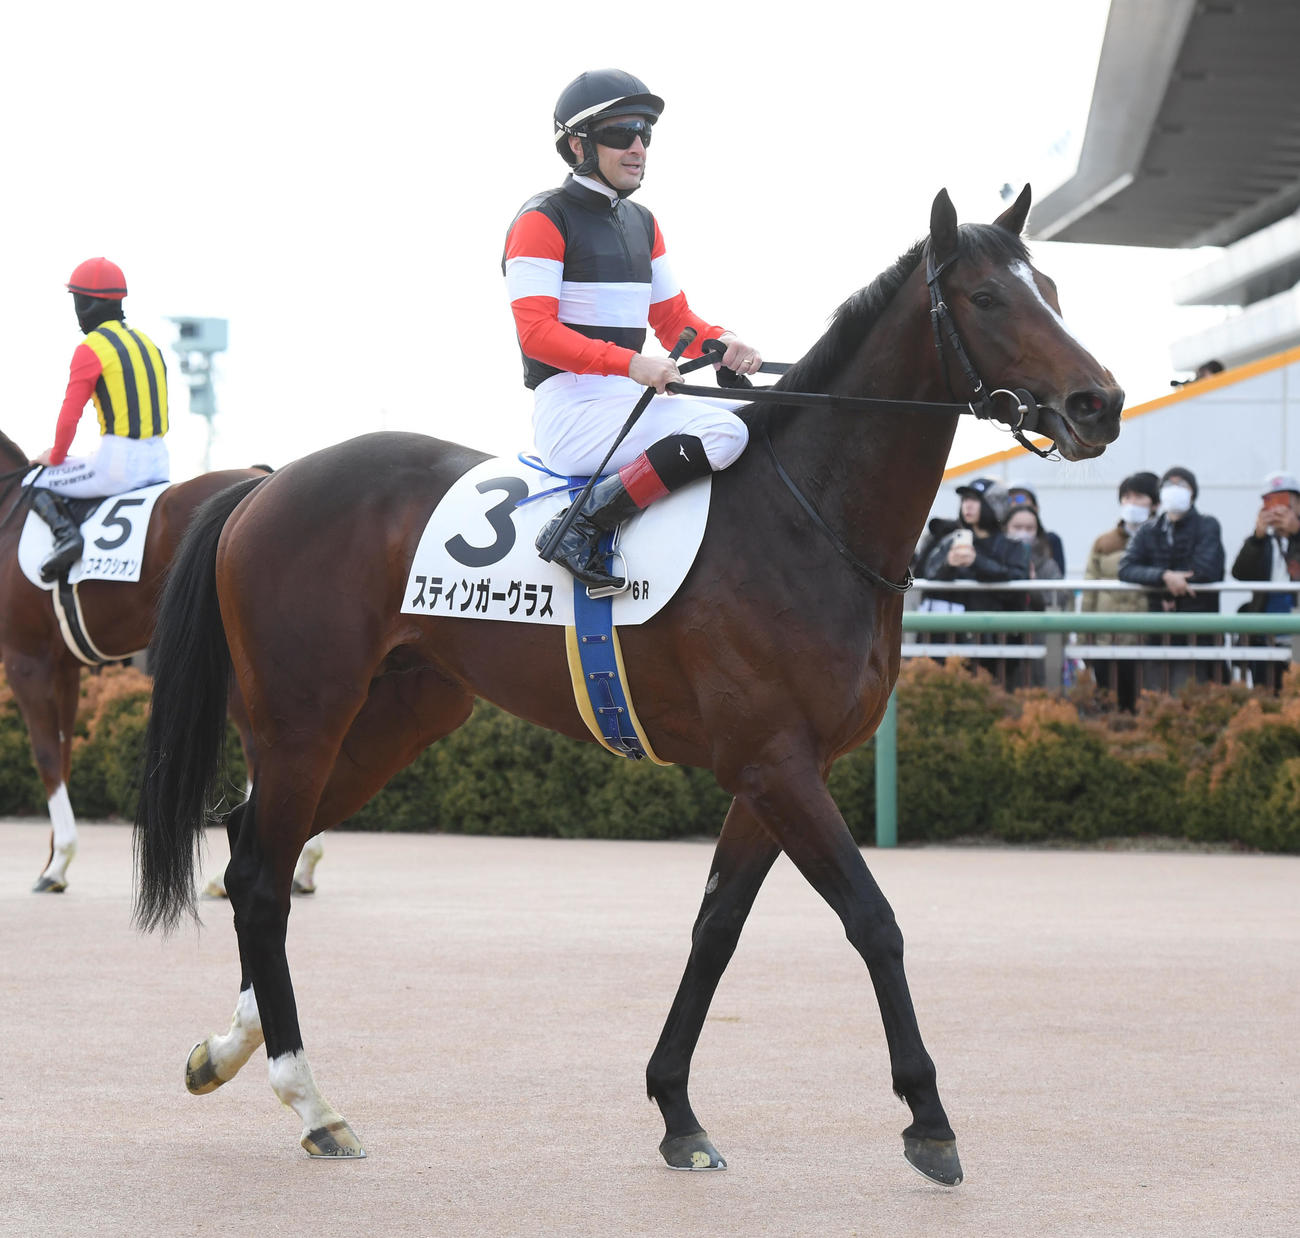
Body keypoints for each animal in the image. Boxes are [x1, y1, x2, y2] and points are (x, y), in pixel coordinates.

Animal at [0, 431, 271, 892]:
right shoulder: (64, 668)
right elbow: (64, 751)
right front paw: (55, 862)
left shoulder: (26, 660)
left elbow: (46, 756)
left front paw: (56, 864)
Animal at [133, 186, 1123, 1185]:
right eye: (989, 298)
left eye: (1053, 290)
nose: (1101, 402)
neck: (807, 518)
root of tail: (264, 485)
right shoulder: (775, 764)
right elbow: (873, 920)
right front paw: (928, 1118)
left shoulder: (777, 773)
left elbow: (716, 928)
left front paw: (677, 1109)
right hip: (303, 719)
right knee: (262, 876)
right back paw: (310, 1098)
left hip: (390, 722)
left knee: (255, 848)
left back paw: (231, 1047)